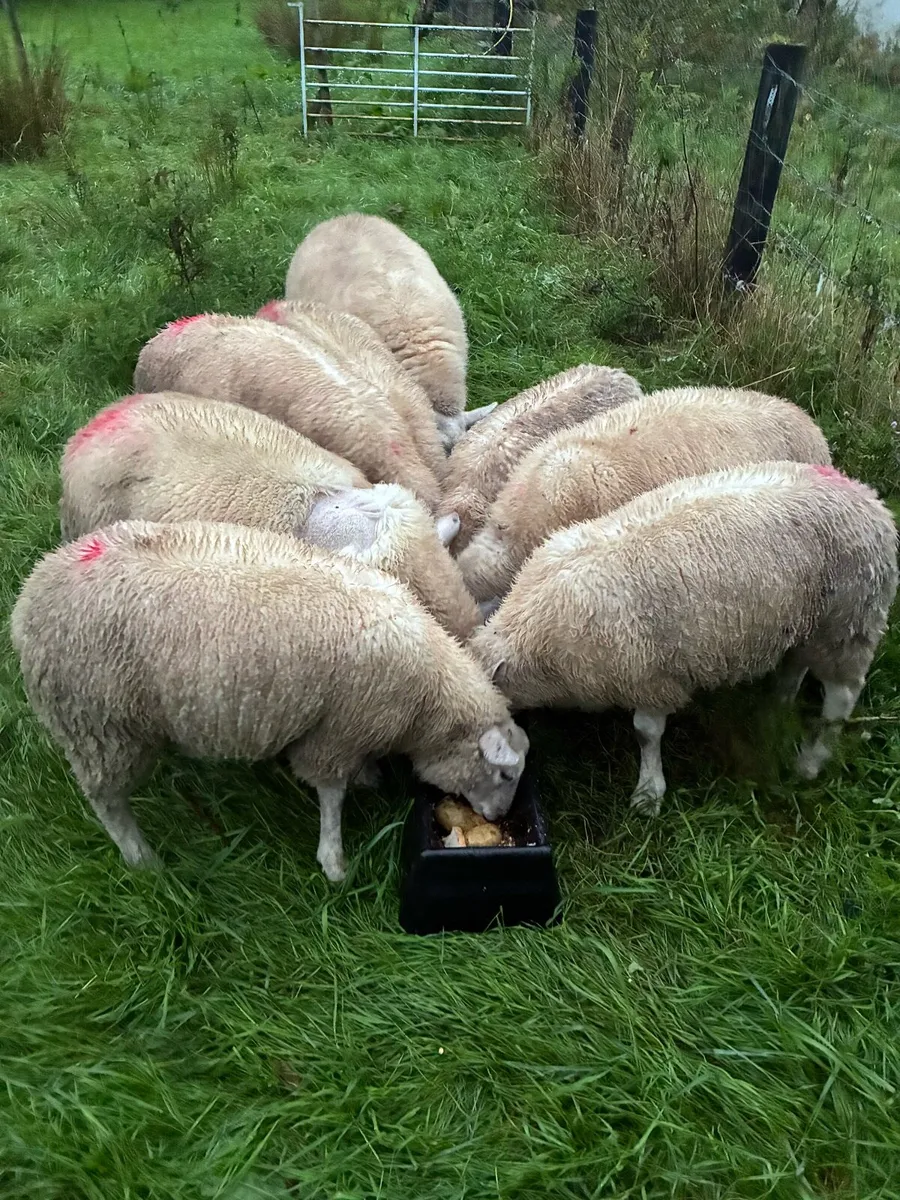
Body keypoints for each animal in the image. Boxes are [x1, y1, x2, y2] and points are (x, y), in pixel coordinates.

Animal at [11, 520, 528, 882]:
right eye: (505, 774)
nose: (500, 817)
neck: (427, 695)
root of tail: (29, 597)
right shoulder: (336, 731)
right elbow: (331, 795)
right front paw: (334, 861)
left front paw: (368, 778)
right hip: (97, 723)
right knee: (107, 801)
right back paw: (142, 859)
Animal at [470, 461, 898, 813]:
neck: (533, 628)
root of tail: (871, 499)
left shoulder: (649, 677)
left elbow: (646, 733)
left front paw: (648, 794)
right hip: (808, 621)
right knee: (796, 663)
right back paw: (776, 706)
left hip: (849, 622)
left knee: (841, 700)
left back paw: (809, 763)